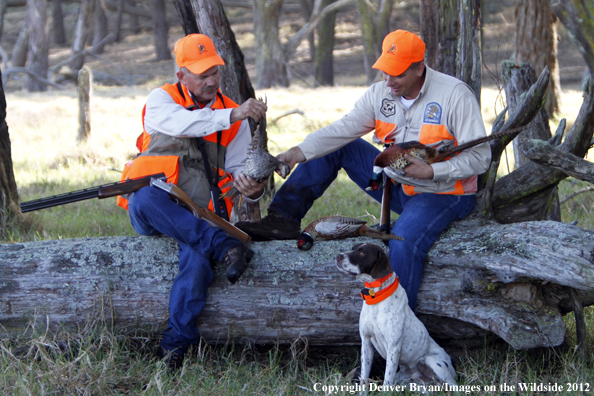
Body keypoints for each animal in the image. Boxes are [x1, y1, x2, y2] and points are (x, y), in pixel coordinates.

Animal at [336, 241, 456, 386]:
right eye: (353, 248)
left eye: (361, 253)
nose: (337, 256)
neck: (376, 298)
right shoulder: (366, 343)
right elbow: (364, 379)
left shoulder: (393, 349)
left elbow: (386, 383)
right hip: (408, 381)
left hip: (436, 364)